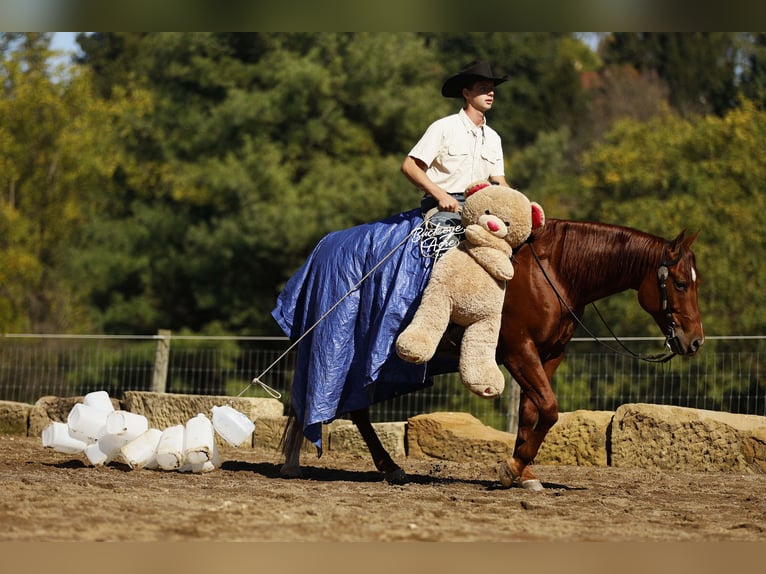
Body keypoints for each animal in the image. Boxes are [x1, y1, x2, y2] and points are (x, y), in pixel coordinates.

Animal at [279, 218, 704, 490]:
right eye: (681, 283)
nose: (695, 341)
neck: (552, 271)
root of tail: (324, 249)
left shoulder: (549, 355)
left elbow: (533, 411)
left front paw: (523, 473)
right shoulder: (518, 351)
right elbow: (550, 409)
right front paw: (513, 467)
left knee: (350, 408)